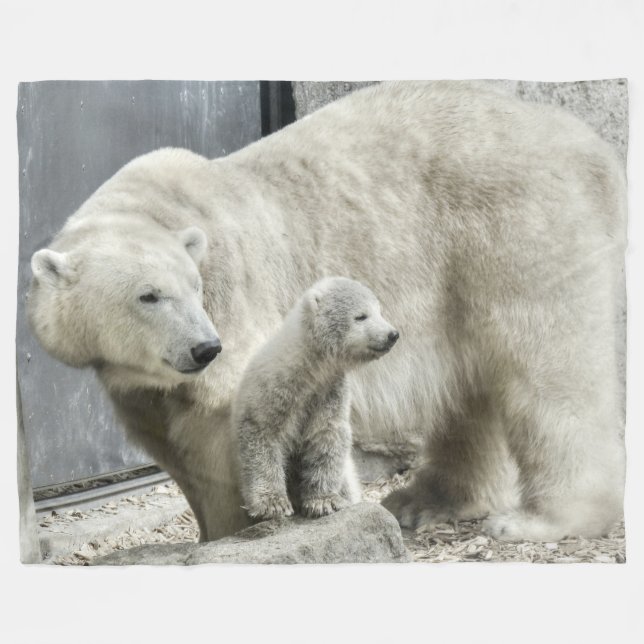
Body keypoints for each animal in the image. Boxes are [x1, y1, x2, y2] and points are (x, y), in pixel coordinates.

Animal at [233, 276, 399, 520]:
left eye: (379, 311)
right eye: (361, 316)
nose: (392, 334)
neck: (306, 366)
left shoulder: (329, 390)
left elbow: (327, 436)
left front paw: (323, 501)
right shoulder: (274, 387)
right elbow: (261, 434)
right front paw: (273, 504)